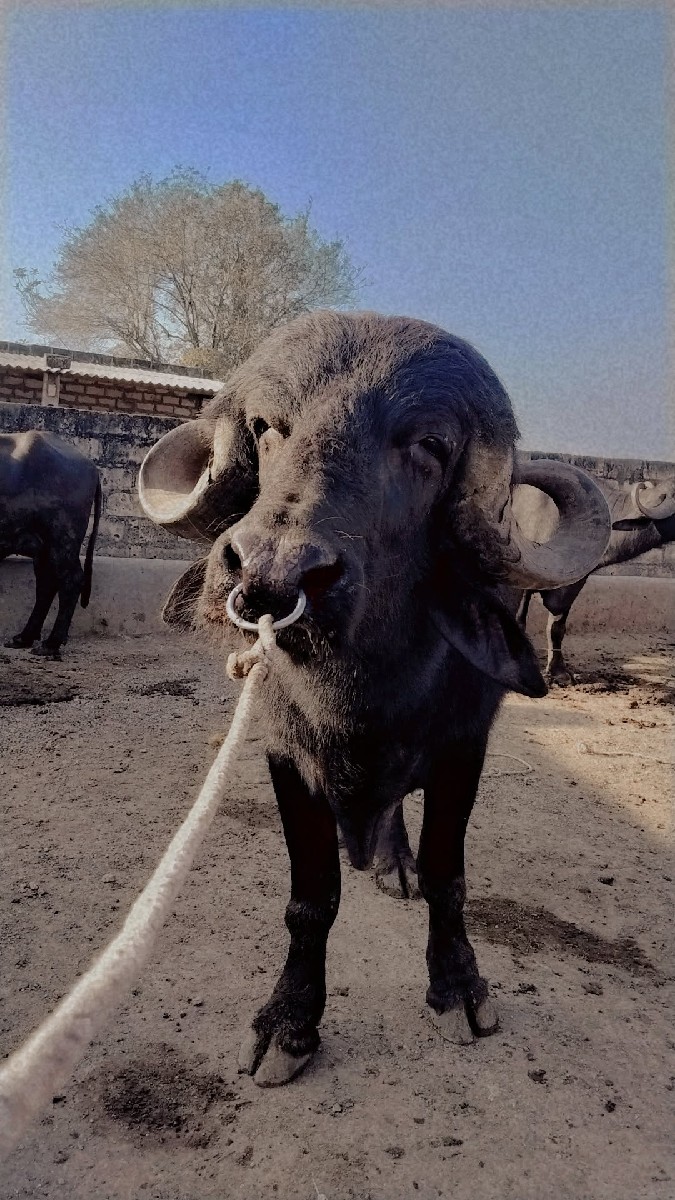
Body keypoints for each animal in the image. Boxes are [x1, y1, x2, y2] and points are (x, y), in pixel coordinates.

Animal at [0, 430, 101, 659]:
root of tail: (91, 467)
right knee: (47, 583)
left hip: (62, 540)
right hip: (44, 549)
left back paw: (51, 643)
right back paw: (24, 637)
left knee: (71, 580)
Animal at [138, 311, 611, 1086]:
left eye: (427, 445)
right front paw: (289, 1023)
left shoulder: (463, 751)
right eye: (267, 426)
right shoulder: (284, 755)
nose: (271, 574)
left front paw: (458, 990)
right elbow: (311, 896)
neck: (360, 697)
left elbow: (448, 875)